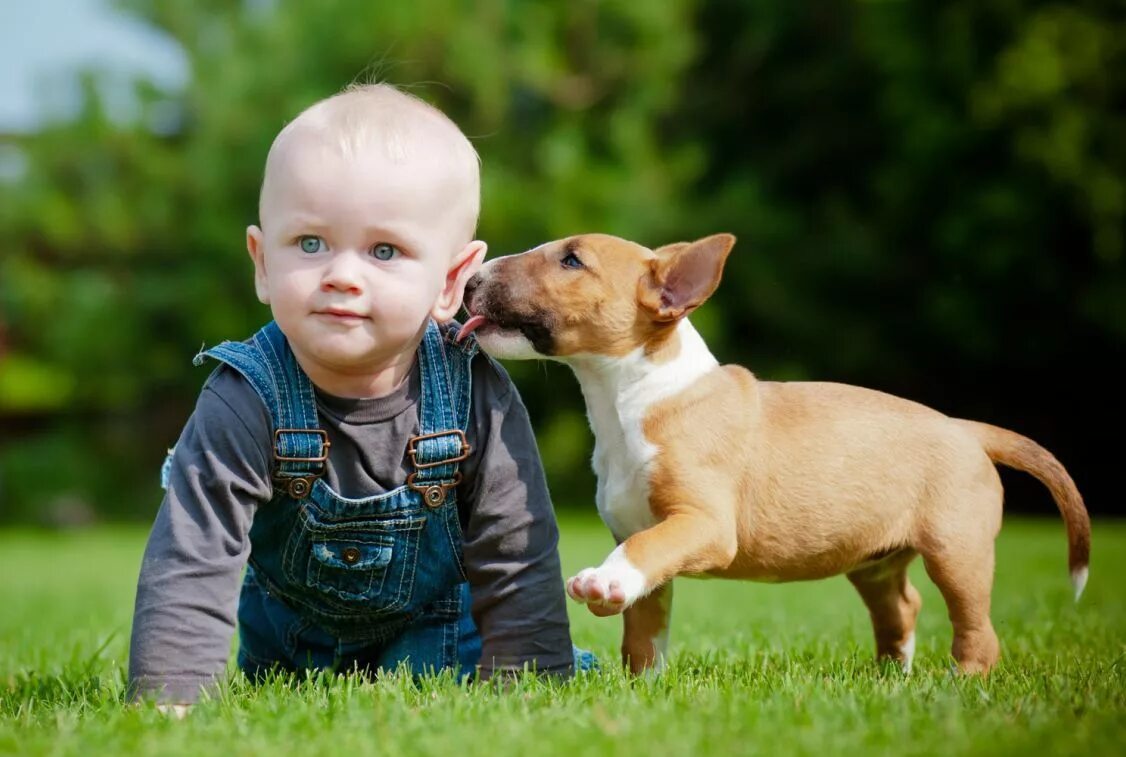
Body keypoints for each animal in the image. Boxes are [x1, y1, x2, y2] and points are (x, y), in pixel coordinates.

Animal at [454, 235, 1089, 675]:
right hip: (876, 561)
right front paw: (643, 687)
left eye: (571, 260)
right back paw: (892, 678)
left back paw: (961, 682)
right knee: (902, 607)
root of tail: (967, 429)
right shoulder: (639, 532)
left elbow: (644, 551)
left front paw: (603, 585)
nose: (470, 281)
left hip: (959, 551)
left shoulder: (703, 524)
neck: (636, 397)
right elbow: (645, 627)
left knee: (976, 626)